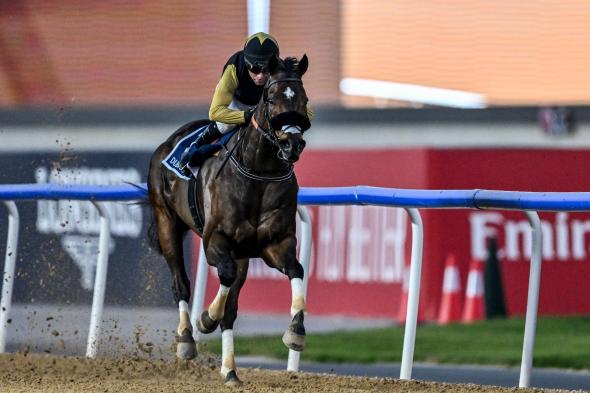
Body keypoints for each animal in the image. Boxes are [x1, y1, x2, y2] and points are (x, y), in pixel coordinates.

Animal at [148, 55, 312, 386]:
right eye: (271, 98)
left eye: (304, 100)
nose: (292, 144)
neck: (259, 173)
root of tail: (167, 143)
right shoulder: (215, 241)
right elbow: (222, 278)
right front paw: (206, 317)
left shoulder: (275, 244)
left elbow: (296, 270)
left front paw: (296, 331)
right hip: (166, 221)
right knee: (181, 284)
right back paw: (187, 340)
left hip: (242, 254)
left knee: (232, 307)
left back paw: (231, 370)